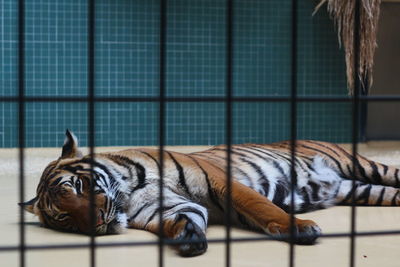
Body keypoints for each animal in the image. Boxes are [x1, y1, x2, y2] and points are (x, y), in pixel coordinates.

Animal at [21, 131, 400, 258]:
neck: (128, 193)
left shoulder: (223, 181)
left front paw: (300, 228)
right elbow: (184, 218)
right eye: (66, 220)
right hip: (363, 189)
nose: (97, 222)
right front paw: (188, 237)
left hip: (362, 166)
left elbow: (260, 206)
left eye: (77, 187)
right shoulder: (163, 209)